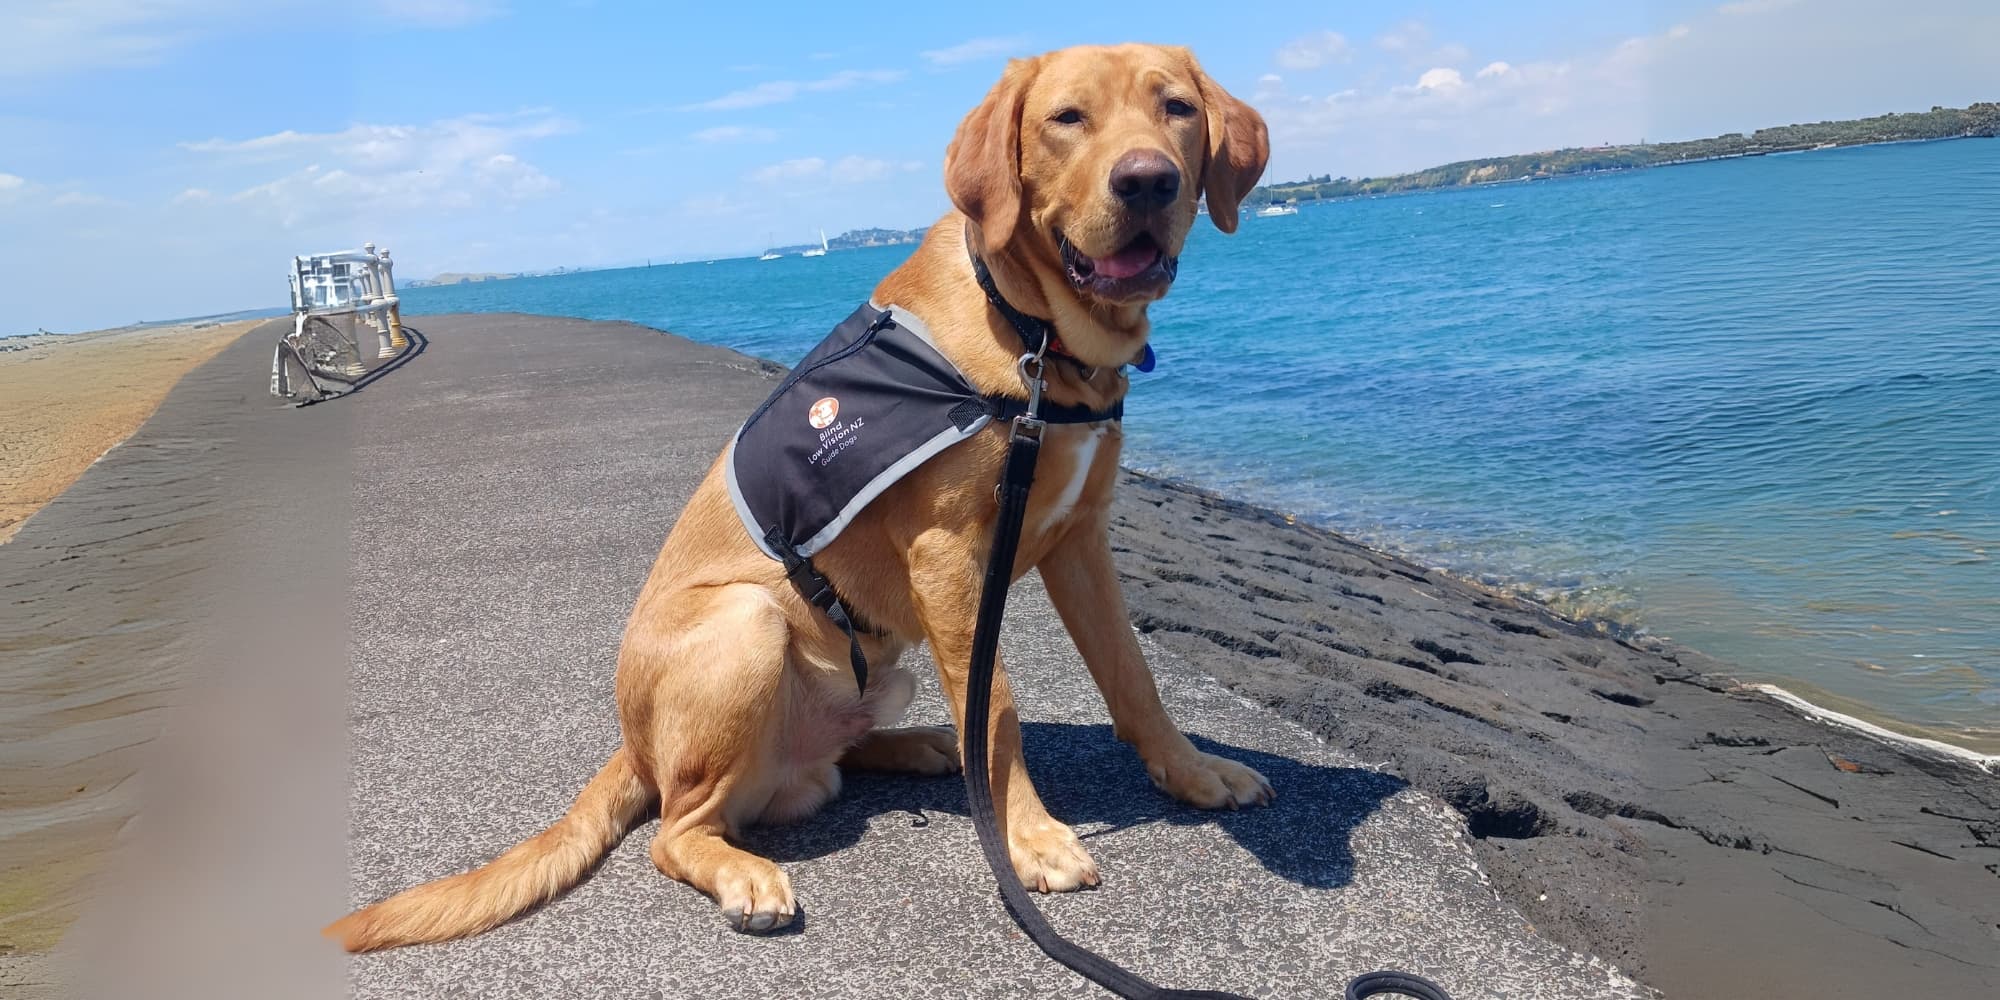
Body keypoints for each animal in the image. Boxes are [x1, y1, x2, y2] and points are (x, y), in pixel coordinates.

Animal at [324, 41, 1264, 944]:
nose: (1147, 180)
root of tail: (631, 745)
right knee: (677, 828)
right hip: (746, 624)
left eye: (1176, 107)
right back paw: (746, 869)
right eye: (1068, 118)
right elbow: (995, 709)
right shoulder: (950, 560)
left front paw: (1193, 772)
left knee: (840, 760)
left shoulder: (1080, 540)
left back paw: (919, 746)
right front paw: (1029, 840)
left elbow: (1131, 675)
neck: (1035, 338)